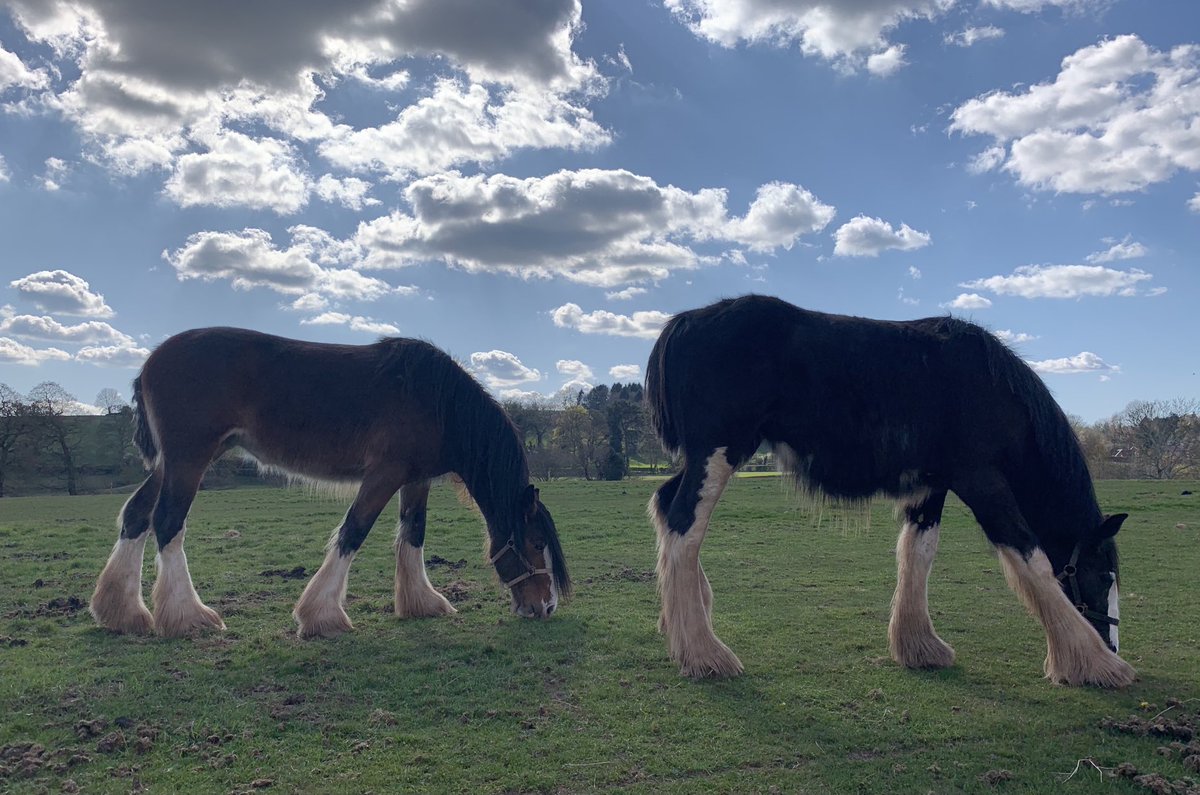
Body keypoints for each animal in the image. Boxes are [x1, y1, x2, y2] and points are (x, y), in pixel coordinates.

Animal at [90, 328, 570, 639]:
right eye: (534, 542)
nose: (546, 607)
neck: (436, 401)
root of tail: (151, 362)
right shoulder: (384, 475)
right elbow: (353, 533)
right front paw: (321, 616)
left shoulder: (415, 480)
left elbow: (413, 535)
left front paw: (422, 604)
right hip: (190, 459)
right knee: (168, 523)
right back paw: (187, 617)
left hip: (172, 463)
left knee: (137, 516)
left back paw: (122, 613)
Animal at [645, 295, 1133, 687]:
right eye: (1103, 575)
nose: (1112, 645)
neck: (988, 389)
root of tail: (685, 322)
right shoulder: (982, 482)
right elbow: (1031, 559)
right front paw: (1096, 665)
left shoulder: (931, 488)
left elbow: (918, 553)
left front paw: (919, 646)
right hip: (719, 453)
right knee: (685, 525)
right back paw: (704, 653)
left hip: (706, 458)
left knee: (667, 507)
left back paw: (683, 628)